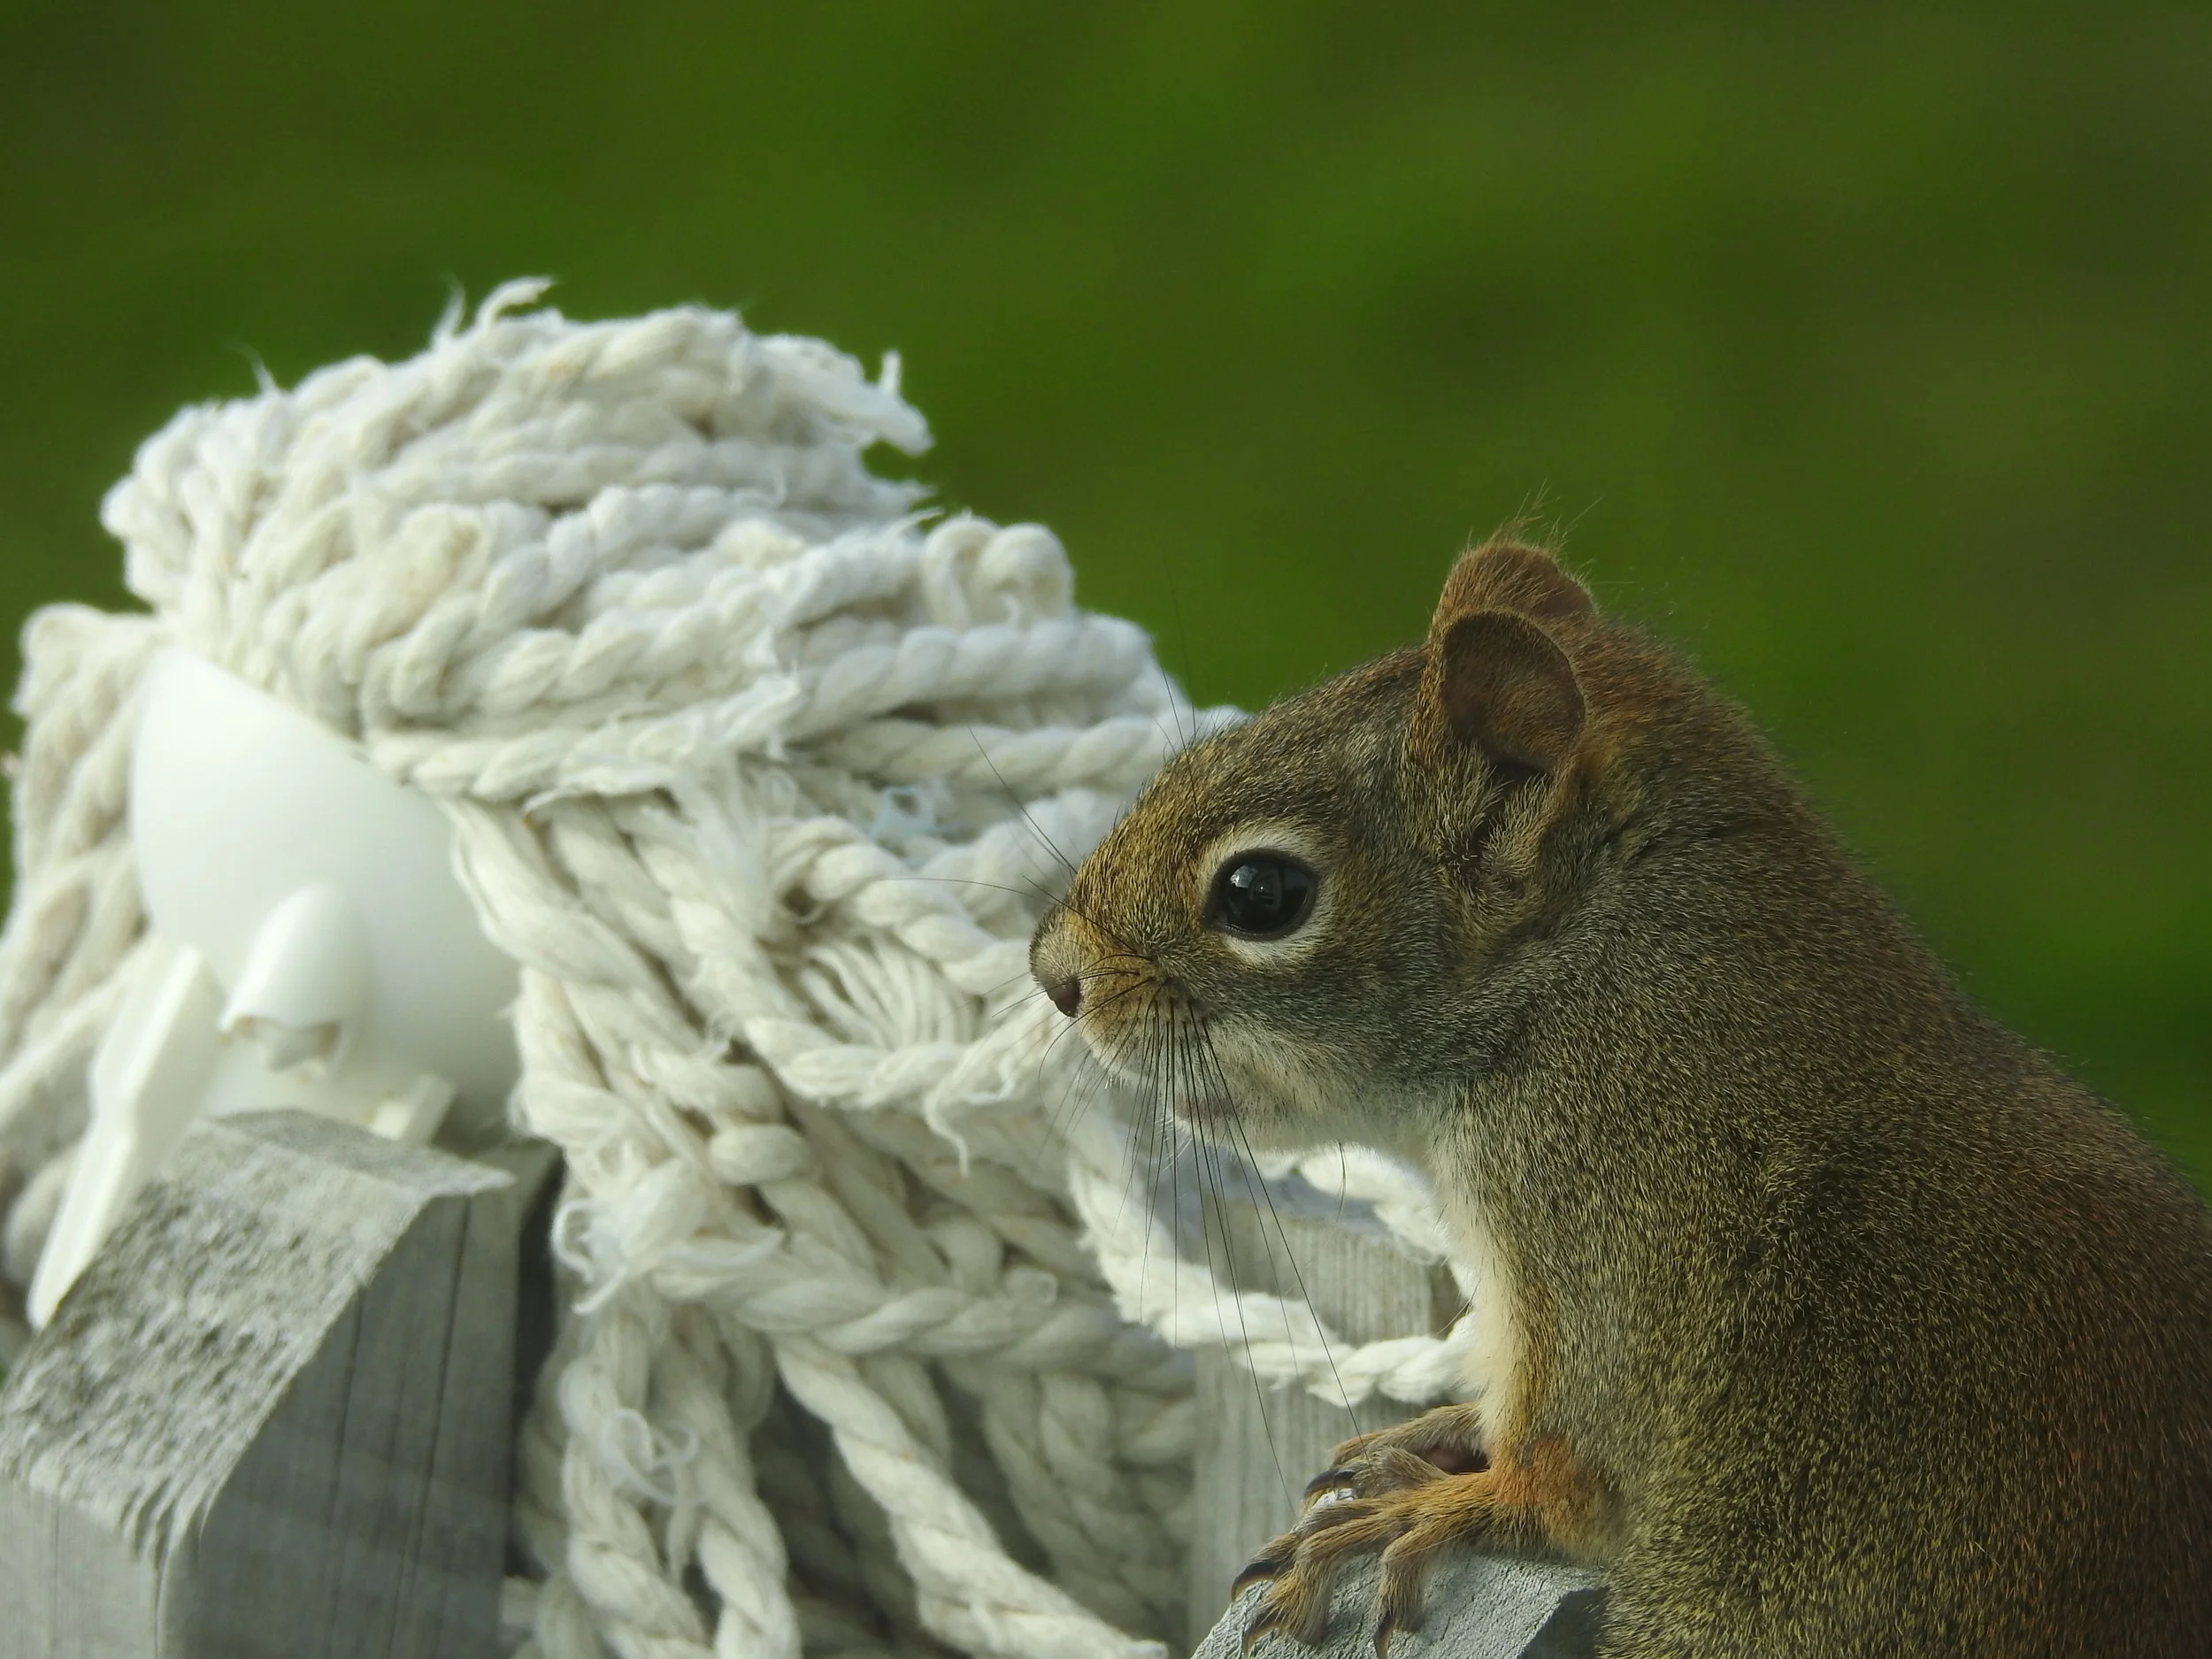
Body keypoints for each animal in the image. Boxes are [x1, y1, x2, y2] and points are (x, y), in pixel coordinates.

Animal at [1030, 539, 2212, 1657]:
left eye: (1260, 893)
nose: (1054, 976)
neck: (1586, 1003)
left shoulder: (1607, 1219)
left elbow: (1562, 1491)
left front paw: (1423, 1511)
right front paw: (1440, 1426)